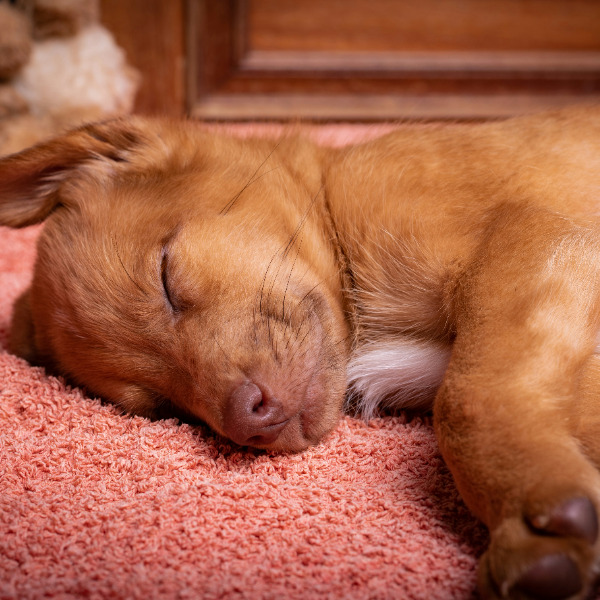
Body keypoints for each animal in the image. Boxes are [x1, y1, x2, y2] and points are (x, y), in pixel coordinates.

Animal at [1, 109, 600, 600]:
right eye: (160, 406)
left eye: (167, 277)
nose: (249, 422)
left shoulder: (531, 237)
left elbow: (467, 398)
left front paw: (529, 512)